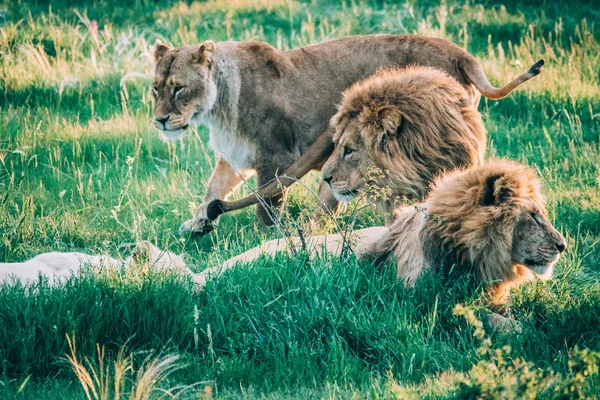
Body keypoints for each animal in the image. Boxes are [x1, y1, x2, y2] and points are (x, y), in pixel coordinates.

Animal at [150, 35, 544, 234]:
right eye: (155, 88)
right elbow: (211, 190)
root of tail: (463, 54)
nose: (160, 121)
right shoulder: (233, 159)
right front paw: (197, 222)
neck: (217, 107)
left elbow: (265, 206)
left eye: (179, 88)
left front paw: (266, 239)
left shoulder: (274, 158)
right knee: (328, 207)